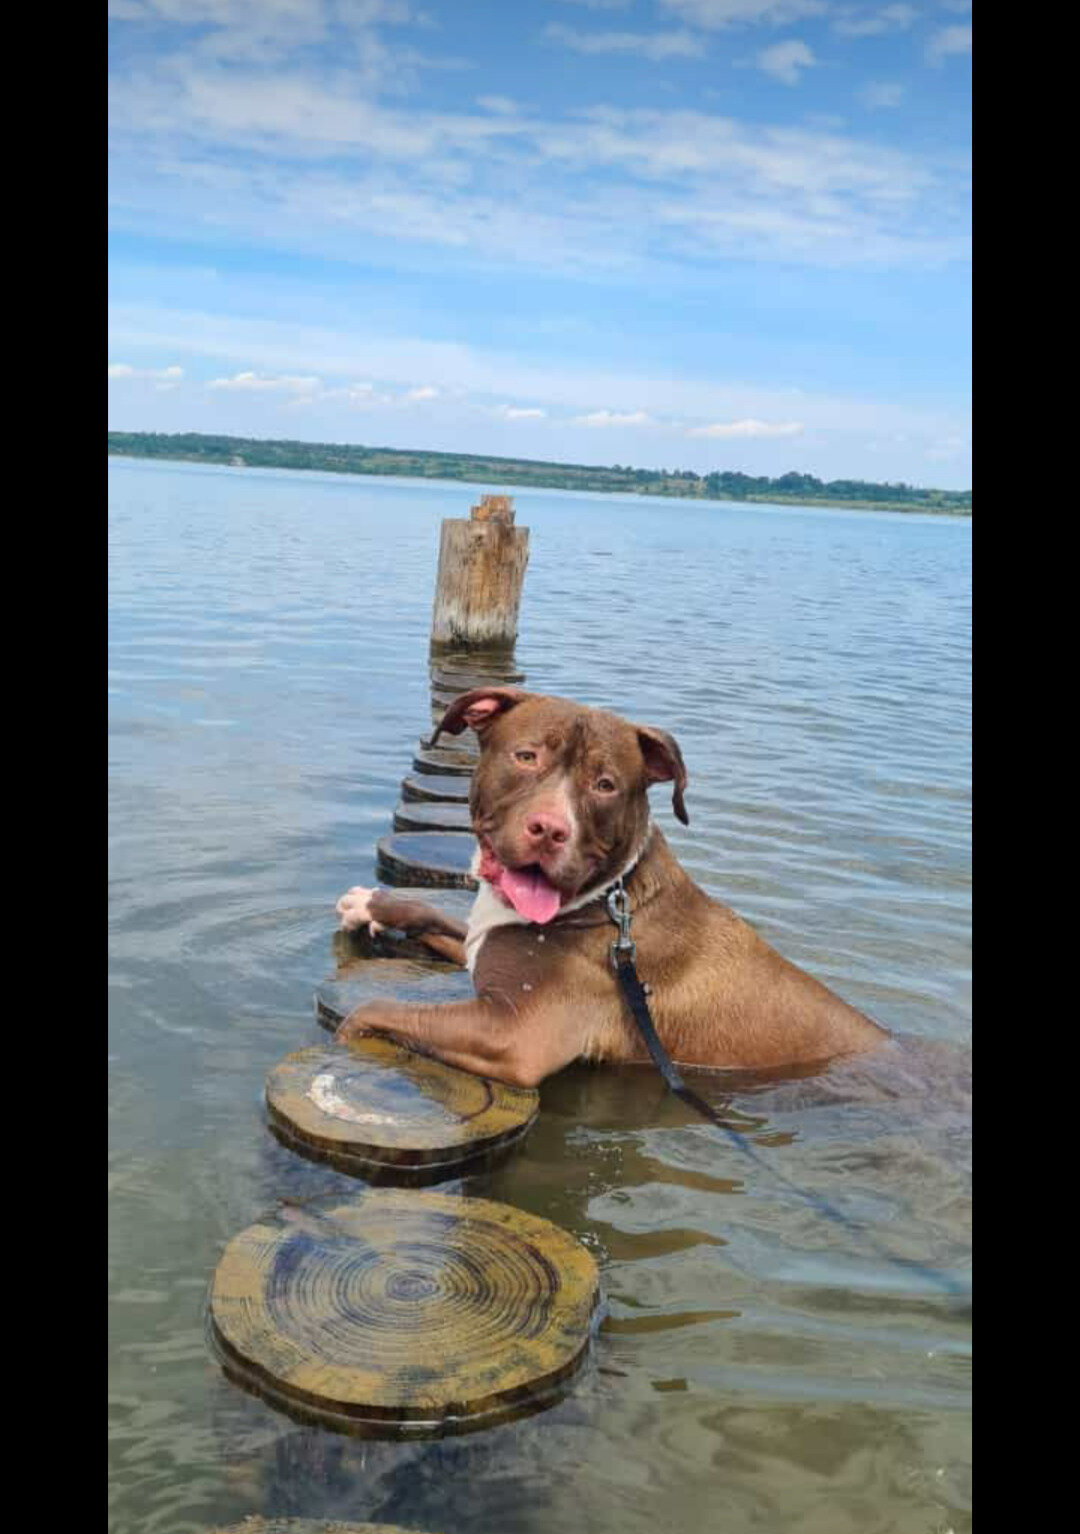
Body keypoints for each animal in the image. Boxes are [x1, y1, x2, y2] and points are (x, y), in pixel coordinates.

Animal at [335, 690, 883, 1086]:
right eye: (526, 756)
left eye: (605, 785)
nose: (549, 830)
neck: (606, 897)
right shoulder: (484, 949)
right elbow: (439, 917)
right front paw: (373, 905)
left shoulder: (517, 1035)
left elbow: (375, 1008)